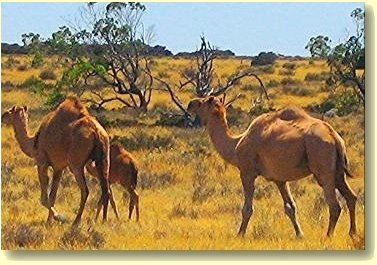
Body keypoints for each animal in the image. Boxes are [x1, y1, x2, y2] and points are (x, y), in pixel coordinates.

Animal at [1, 96, 110, 224]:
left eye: (10, 111)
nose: (2, 116)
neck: (34, 143)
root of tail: (96, 131)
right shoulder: (59, 167)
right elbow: (53, 195)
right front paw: (49, 221)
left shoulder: (42, 162)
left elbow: (44, 197)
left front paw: (59, 217)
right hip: (103, 159)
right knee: (106, 189)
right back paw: (103, 220)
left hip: (76, 163)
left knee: (85, 190)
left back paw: (76, 222)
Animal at [187, 96, 356, 236]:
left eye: (202, 102)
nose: (190, 104)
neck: (235, 145)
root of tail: (334, 137)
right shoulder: (279, 179)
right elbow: (290, 207)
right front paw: (299, 234)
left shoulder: (247, 172)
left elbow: (247, 209)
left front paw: (240, 235)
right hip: (338, 171)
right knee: (351, 197)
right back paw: (352, 233)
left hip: (323, 165)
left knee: (334, 205)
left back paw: (328, 236)